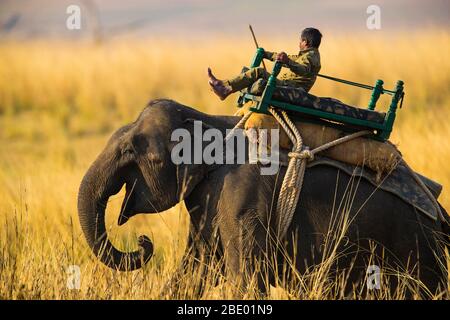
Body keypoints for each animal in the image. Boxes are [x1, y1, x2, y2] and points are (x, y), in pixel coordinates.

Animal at [78, 98, 450, 298]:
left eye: (135, 153)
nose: (143, 241)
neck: (207, 119)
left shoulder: (242, 194)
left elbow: (245, 280)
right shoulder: (210, 196)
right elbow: (196, 270)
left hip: (416, 252)